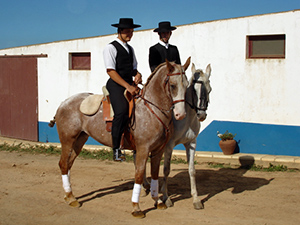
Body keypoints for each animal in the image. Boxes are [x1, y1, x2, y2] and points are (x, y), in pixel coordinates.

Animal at [49, 57, 190, 218]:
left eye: (186, 85)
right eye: (172, 85)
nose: (180, 115)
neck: (152, 110)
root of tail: (63, 103)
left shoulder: (158, 150)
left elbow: (154, 174)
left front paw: (157, 200)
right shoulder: (143, 150)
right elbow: (139, 175)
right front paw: (136, 207)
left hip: (79, 140)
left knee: (68, 164)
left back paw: (69, 195)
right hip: (67, 140)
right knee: (63, 164)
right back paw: (71, 197)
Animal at [141, 62, 211, 209]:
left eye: (210, 90)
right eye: (194, 90)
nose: (201, 115)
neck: (187, 119)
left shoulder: (191, 143)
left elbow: (192, 170)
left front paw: (196, 199)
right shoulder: (169, 145)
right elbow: (166, 169)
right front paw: (166, 197)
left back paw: (146, 186)